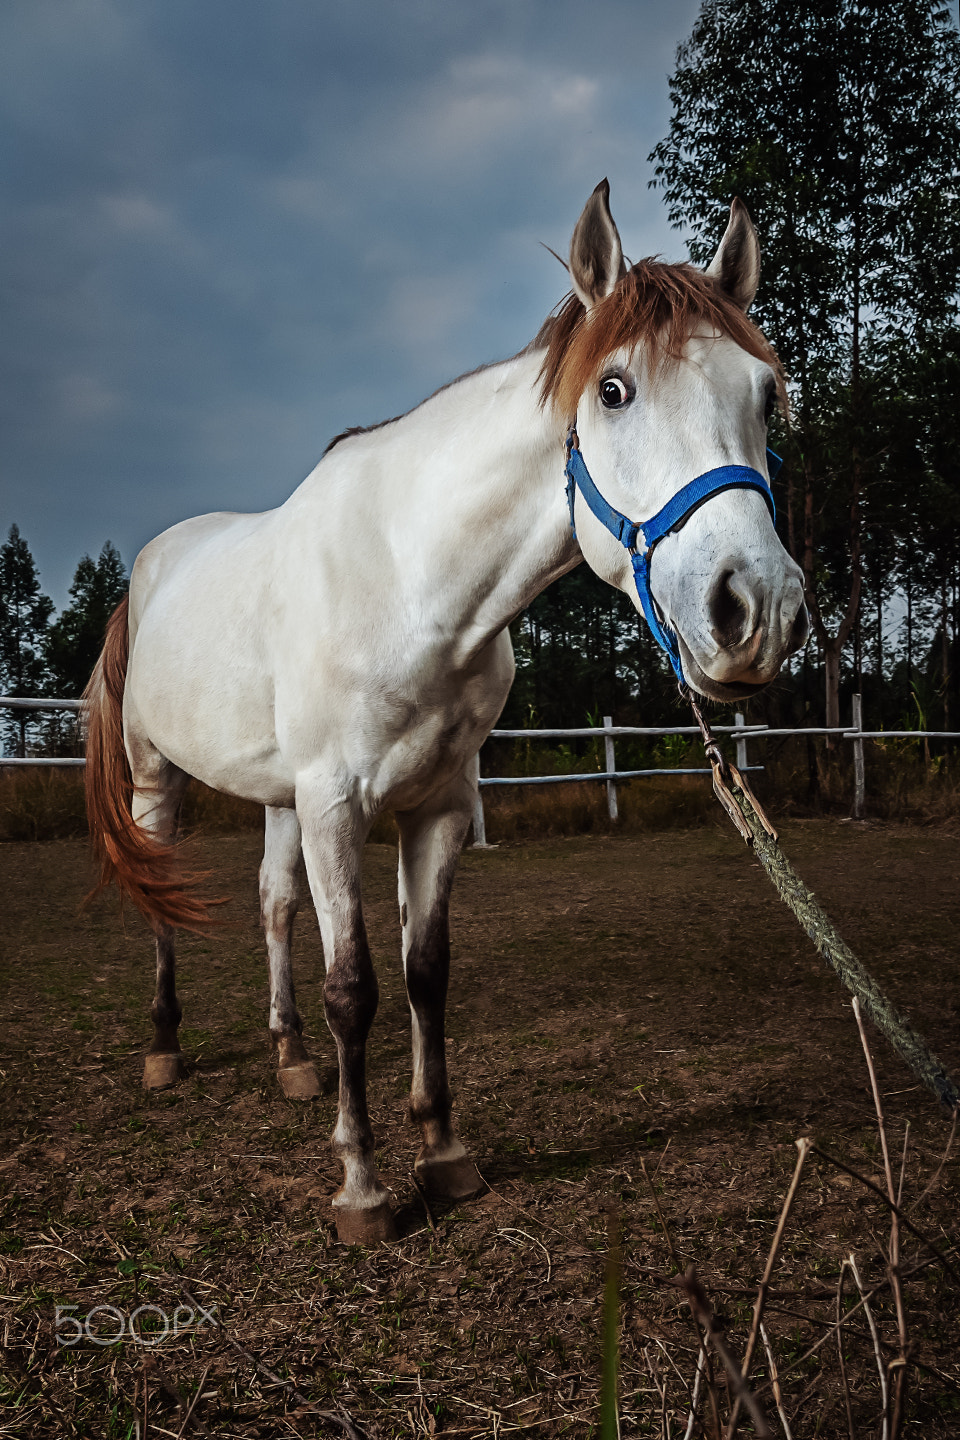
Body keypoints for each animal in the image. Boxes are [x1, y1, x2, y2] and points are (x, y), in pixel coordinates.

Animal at [84, 180, 808, 1243]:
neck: (411, 582)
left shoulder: (434, 807)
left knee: (272, 904)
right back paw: (165, 1048)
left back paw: (290, 1058)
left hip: (278, 796)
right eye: (614, 390)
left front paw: (444, 1153)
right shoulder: (339, 805)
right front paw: (362, 1186)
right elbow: (356, 988)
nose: (755, 612)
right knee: (161, 898)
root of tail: (146, 573)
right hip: (158, 778)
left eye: (763, 395)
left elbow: (426, 972)